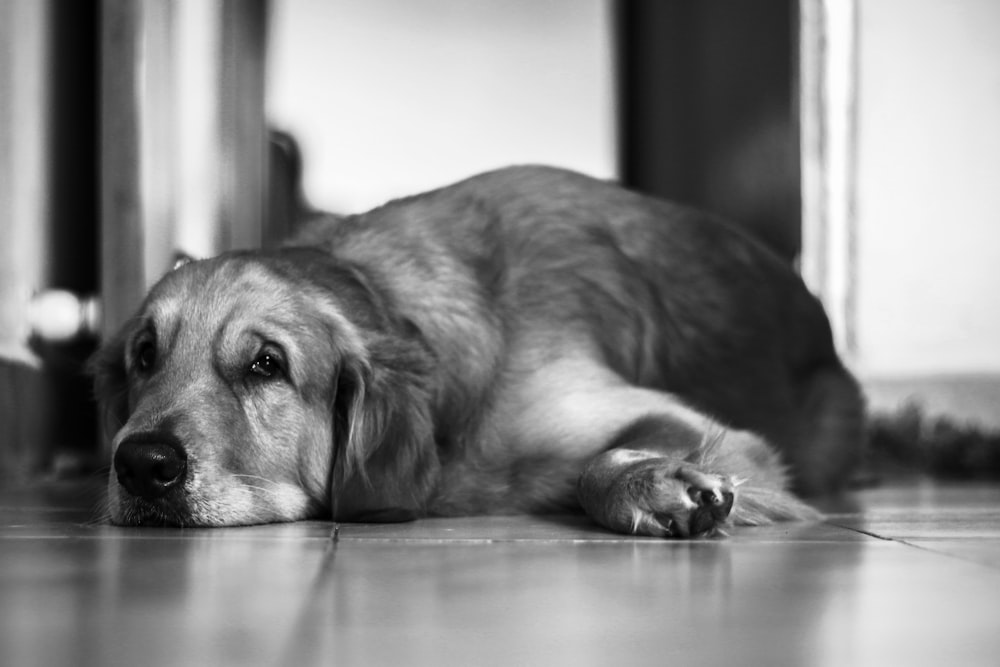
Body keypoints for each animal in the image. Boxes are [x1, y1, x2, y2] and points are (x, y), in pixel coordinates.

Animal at [90, 166, 864, 536]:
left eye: (266, 365)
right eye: (145, 355)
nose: (141, 465)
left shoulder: (720, 435)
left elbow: (603, 462)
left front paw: (659, 483)